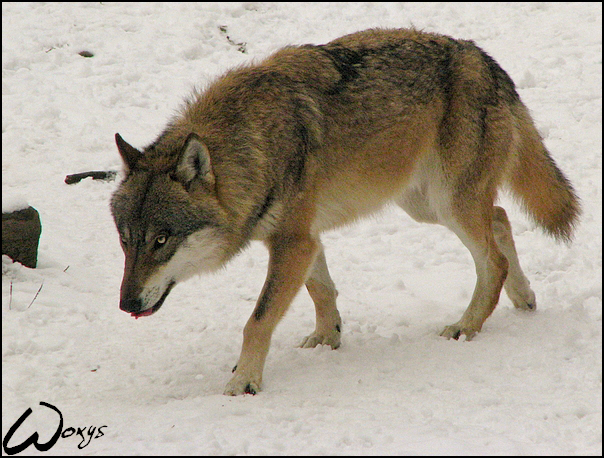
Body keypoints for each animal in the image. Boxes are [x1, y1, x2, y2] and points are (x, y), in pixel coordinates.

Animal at [109, 27, 580, 394]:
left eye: (162, 239)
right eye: (126, 242)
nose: (126, 303)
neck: (253, 144)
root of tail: (485, 60)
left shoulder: (293, 242)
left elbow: (257, 320)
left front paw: (243, 382)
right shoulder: (302, 238)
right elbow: (321, 290)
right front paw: (326, 338)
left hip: (448, 203)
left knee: (494, 260)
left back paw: (467, 325)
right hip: (425, 204)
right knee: (501, 219)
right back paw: (523, 297)